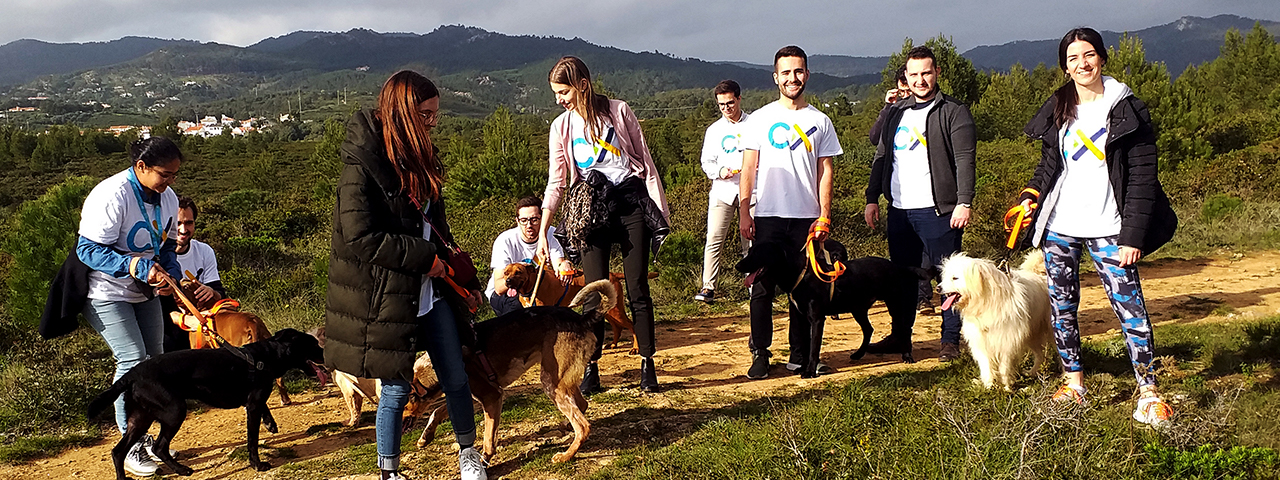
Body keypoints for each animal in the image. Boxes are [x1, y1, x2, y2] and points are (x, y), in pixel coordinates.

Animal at [86, 330, 325, 478]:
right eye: (313, 345)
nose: (326, 354)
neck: (265, 357)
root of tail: (132, 373)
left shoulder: (254, 402)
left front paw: (270, 423)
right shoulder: (254, 405)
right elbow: (252, 441)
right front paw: (257, 465)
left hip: (140, 419)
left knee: (118, 452)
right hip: (174, 411)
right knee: (158, 446)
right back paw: (182, 470)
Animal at [401, 280, 616, 463]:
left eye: (400, 403)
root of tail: (582, 318)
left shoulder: (492, 396)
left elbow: (488, 437)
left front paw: (485, 460)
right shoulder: (469, 394)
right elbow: (436, 411)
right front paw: (426, 437)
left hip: (551, 383)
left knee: (583, 426)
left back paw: (566, 455)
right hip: (561, 380)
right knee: (582, 405)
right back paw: (565, 426)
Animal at [499, 261, 655, 355]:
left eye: (518, 272)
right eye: (506, 273)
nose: (508, 281)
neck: (532, 285)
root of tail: (612, 274)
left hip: (615, 310)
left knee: (631, 325)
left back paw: (636, 348)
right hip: (608, 310)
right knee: (617, 327)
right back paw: (613, 344)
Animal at [742, 239, 931, 378]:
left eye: (757, 252)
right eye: (750, 252)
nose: (738, 265)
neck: (800, 274)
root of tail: (896, 265)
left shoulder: (817, 319)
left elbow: (814, 348)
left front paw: (810, 371)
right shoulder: (802, 318)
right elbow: (805, 345)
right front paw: (803, 368)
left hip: (894, 304)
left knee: (903, 328)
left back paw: (907, 356)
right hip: (858, 308)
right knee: (869, 329)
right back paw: (858, 354)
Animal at [936, 252, 1054, 391]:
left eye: (955, 278)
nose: (938, 288)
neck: (985, 303)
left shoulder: (1007, 342)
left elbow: (1004, 368)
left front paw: (1007, 388)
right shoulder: (981, 342)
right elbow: (986, 366)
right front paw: (989, 386)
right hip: (1032, 334)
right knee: (1040, 354)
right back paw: (1032, 372)